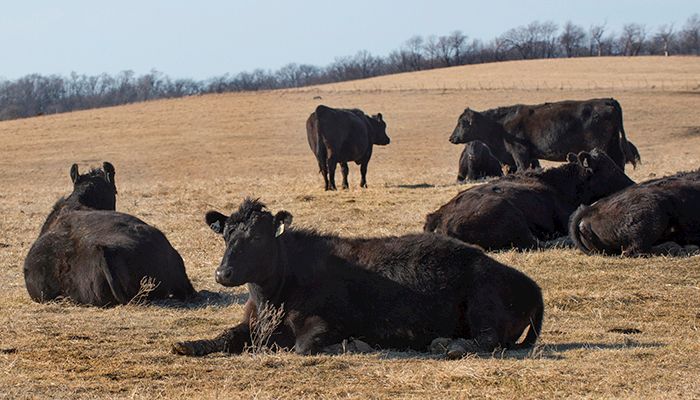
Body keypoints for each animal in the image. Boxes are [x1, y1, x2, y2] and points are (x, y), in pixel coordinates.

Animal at [172, 198, 544, 358]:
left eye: (259, 237)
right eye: (226, 236)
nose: (223, 273)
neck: (271, 298)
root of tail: (531, 285)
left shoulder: (326, 324)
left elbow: (303, 346)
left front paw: (354, 344)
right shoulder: (250, 324)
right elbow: (223, 336)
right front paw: (187, 344)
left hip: (484, 302)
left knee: (487, 339)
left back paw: (447, 345)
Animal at [452, 99, 644, 172]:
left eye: (462, 122)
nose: (451, 137)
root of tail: (606, 100)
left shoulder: (520, 152)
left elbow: (522, 168)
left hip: (602, 146)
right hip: (614, 144)